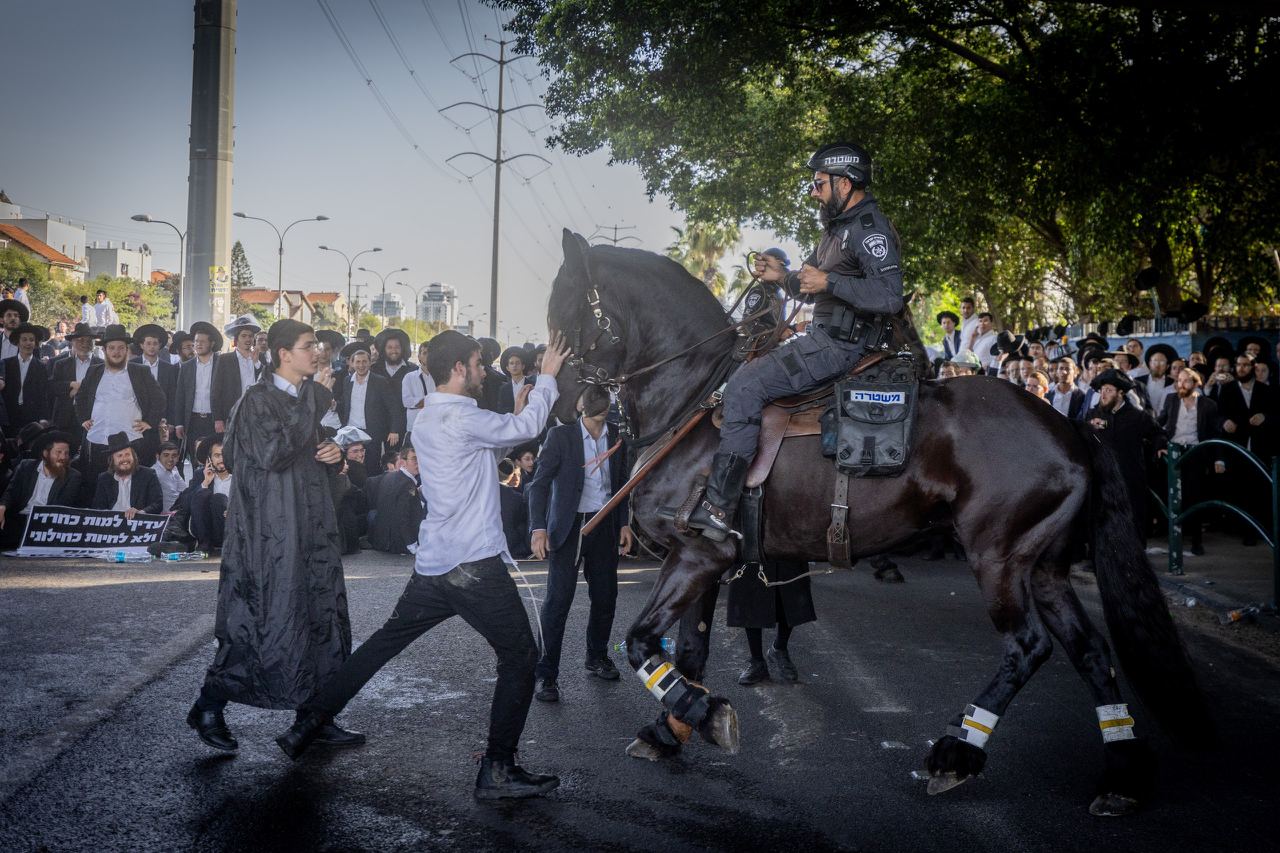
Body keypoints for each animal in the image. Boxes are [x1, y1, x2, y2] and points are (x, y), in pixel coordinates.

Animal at [545, 230, 1209, 816]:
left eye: (566, 303)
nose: (560, 399)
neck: (694, 399)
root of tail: (1069, 427)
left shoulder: (697, 553)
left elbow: (640, 641)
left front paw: (703, 717)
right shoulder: (704, 560)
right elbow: (687, 651)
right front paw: (671, 728)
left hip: (999, 558)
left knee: (1027, 647)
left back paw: (955, 754)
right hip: (1043, 566)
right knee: (1091, 652)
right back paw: (1120, 777)